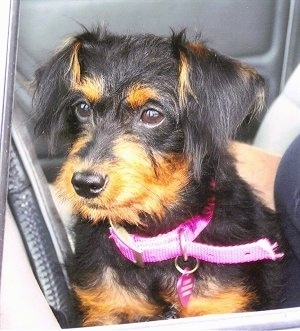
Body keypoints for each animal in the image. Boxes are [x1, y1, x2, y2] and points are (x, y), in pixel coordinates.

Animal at [34, 26, 284, 326]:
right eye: (82, 108)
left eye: (152, 115)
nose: (84, 184)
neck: (155, 239)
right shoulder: (106, 310)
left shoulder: (221, 306)